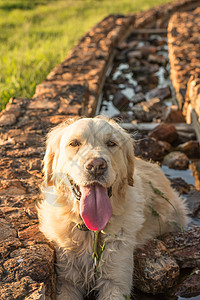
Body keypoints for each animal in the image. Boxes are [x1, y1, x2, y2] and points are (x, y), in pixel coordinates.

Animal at [37, 115, 188, 300]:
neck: (92, 232)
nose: (96, 165)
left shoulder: (116, 281)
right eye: (74, 143)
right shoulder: (66, 281)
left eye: (111, 143)